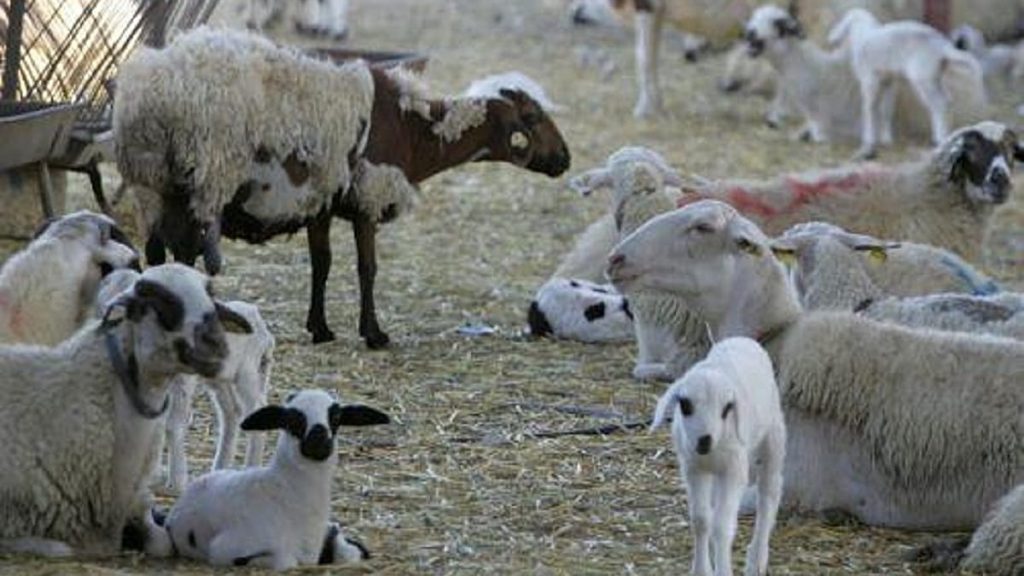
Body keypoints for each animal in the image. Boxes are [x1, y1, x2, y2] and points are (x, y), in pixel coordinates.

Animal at [164, 389, 390, 570]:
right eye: (291, 419)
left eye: (336, 417)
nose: (318, 441)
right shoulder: (224, 549)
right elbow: (285, 561)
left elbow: (349, 551)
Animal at [651, 337, 786, 576]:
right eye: (685, 405)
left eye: (727, 409)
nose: (704, 440)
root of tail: (742, 339)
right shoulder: (693, 468)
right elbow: (701, 520)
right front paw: (701, 569)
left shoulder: (733, 471)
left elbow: (722, 526)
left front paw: (722, 569)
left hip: (773, 437)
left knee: (768, 494)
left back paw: (757, 559)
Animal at [827, 8, 987, 159]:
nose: (833, 41)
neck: (861, 38)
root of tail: (942, 47)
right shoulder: (889, 81)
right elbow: (886, 109)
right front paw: (886, 139)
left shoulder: (869, 79)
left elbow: (869, 108)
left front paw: (869, 141)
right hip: (935, 76)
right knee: (947, 100)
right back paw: (948, 136)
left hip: (923, 77)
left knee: (939, 104)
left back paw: (939, 139)